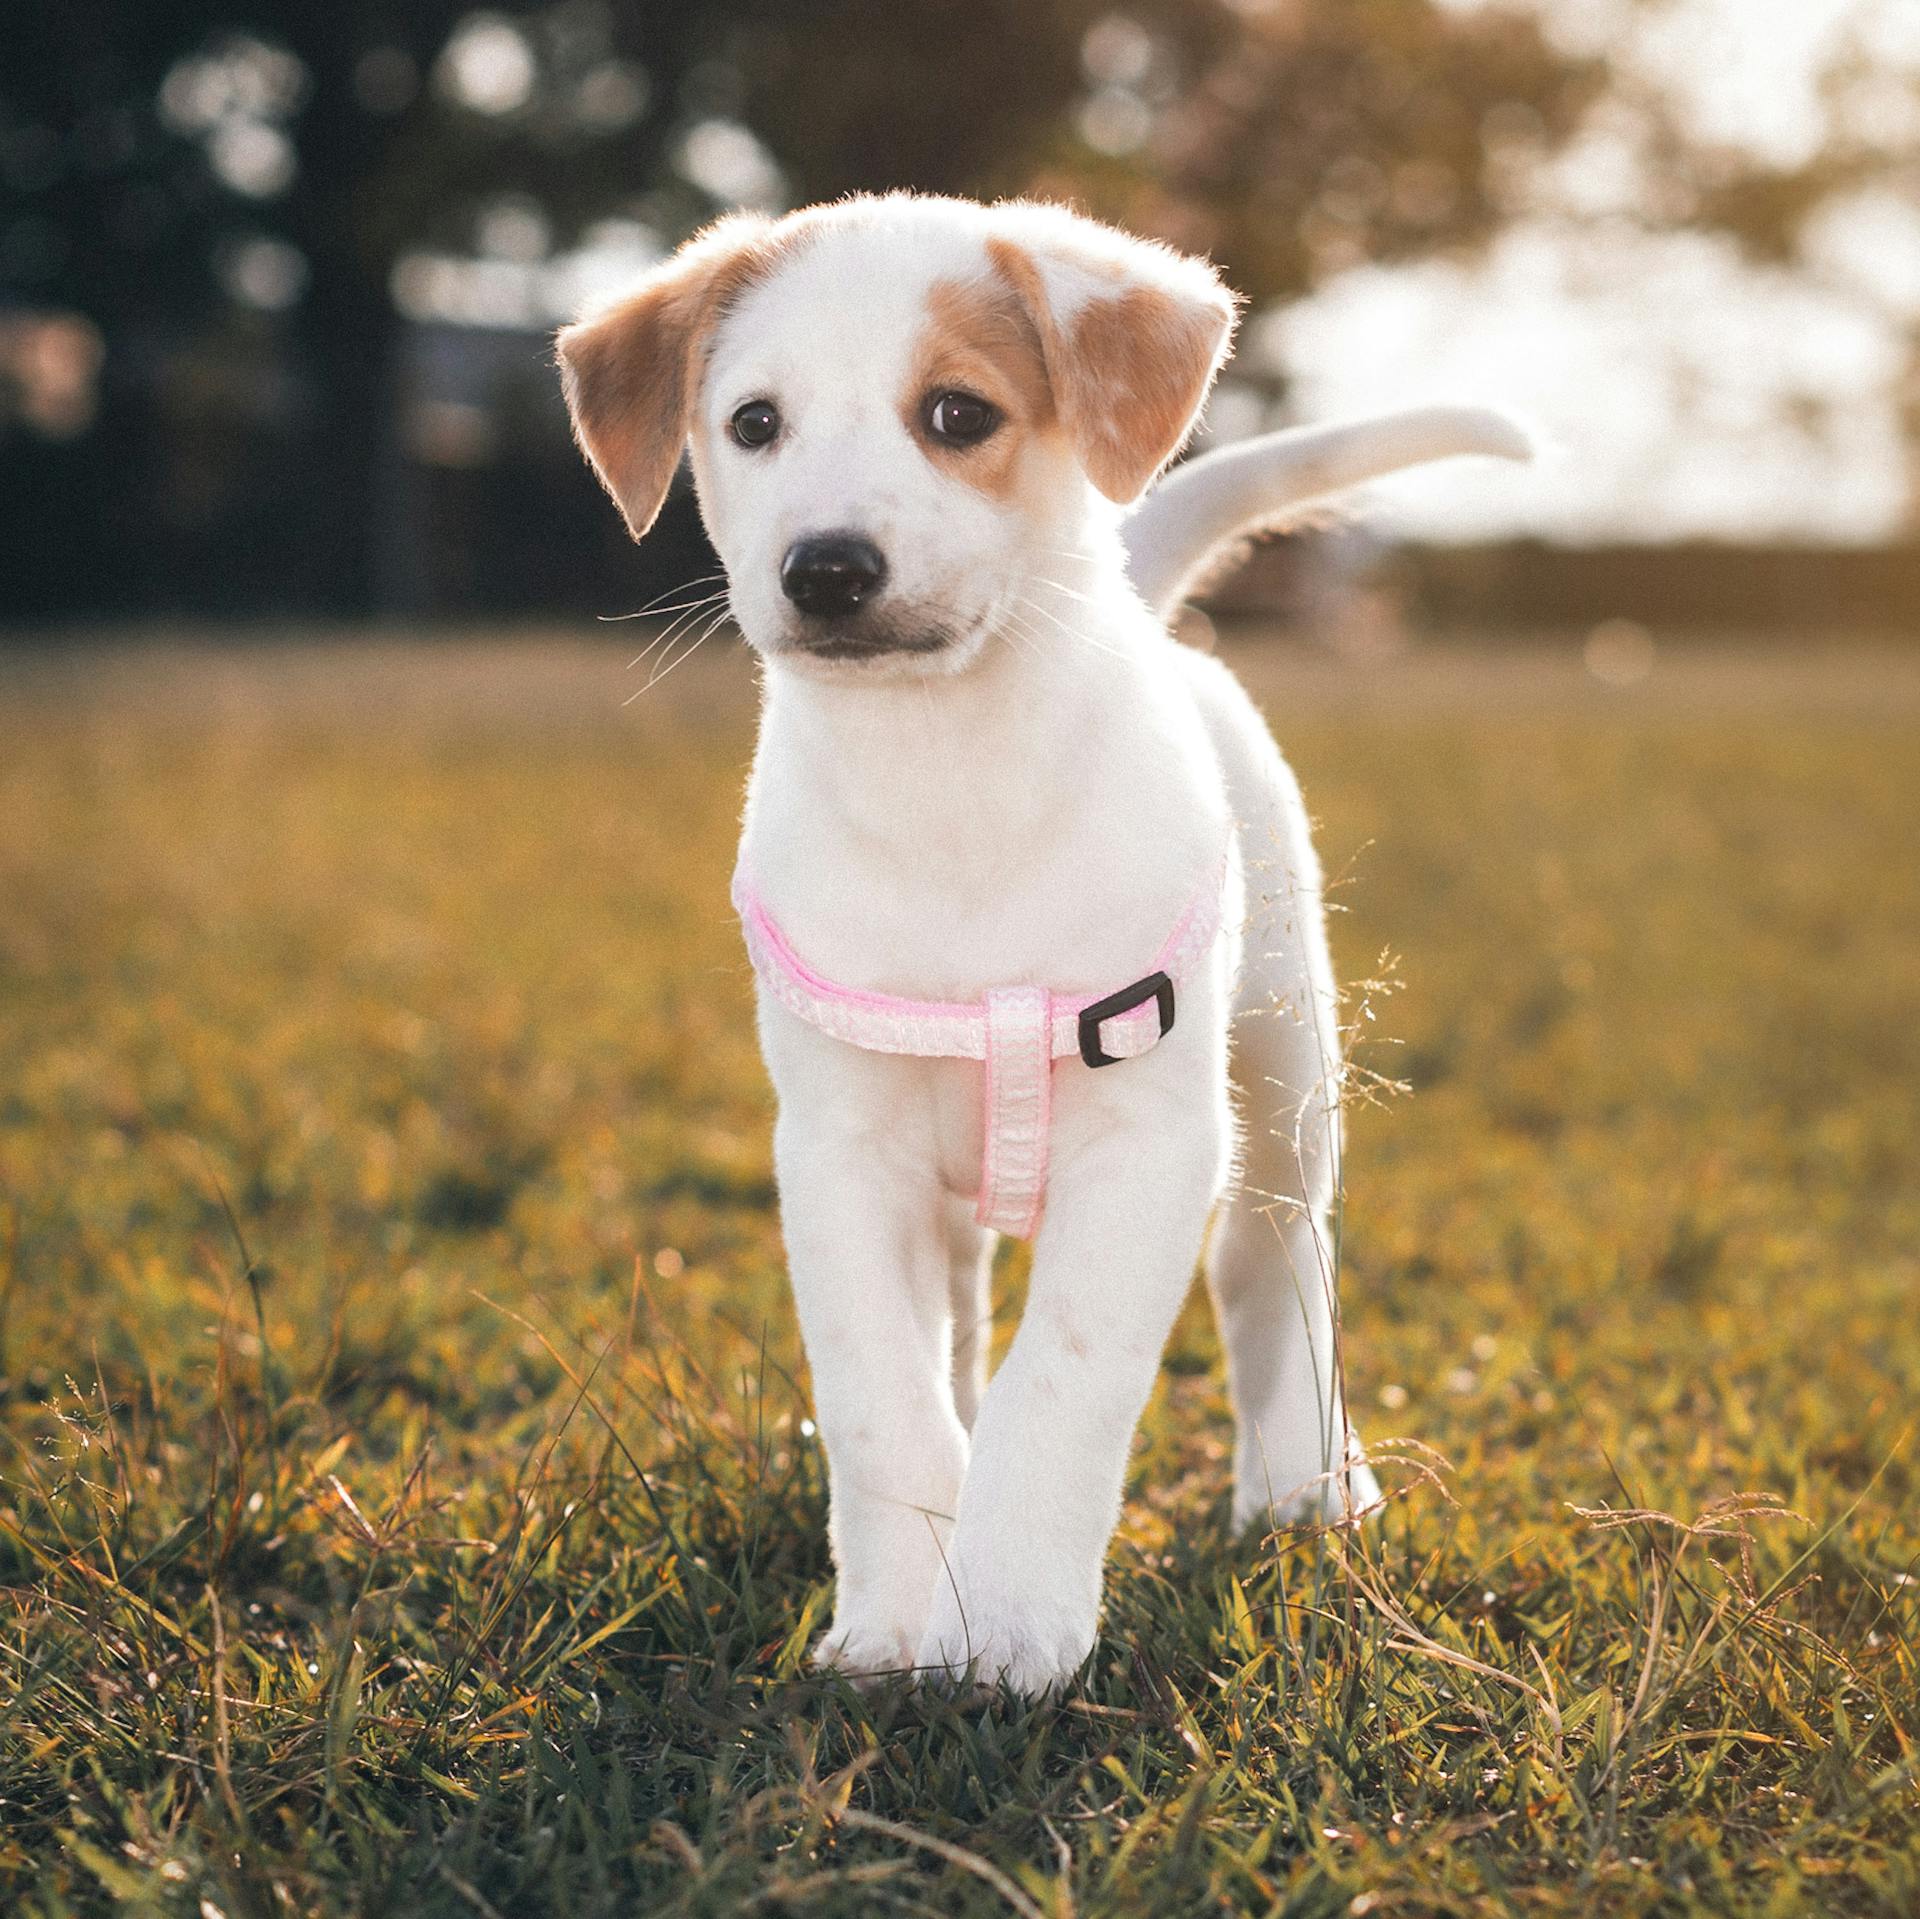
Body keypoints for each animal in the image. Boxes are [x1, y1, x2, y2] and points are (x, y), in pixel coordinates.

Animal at [560, 194, 1528, 1698]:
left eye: (958, 413)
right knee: (963, 1323)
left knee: (1270, 1261)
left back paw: (1303, 1485)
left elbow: (1059, 1384)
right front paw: (897, 1621)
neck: (947, 773)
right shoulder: (841, 1154)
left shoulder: (1146, 1147)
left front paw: (1011, 1623)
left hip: (1280, 1075)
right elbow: (889, 1402)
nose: (824, 568)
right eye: (754, 423)